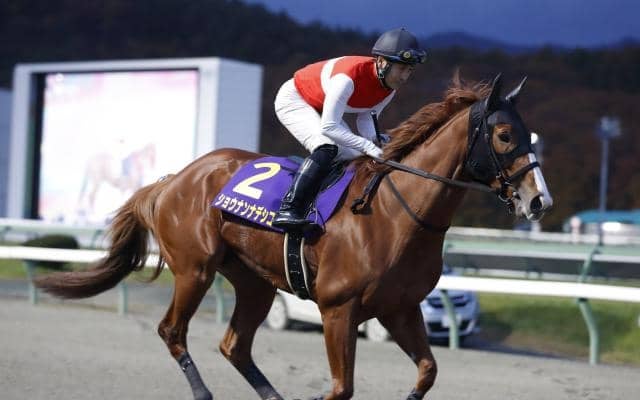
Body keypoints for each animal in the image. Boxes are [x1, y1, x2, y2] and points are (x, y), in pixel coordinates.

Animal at [35, 74, 552, 400]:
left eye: (530, 135)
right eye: (504, 135)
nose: (538, 201)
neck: (396, 214)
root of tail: (173, 179)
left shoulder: (399, 309)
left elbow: (427, 371)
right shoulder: (338, 309)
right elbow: (341, 388)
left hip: (255, 282)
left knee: (234, 346)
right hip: (195, 269)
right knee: (172, 331)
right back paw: (202, 391)